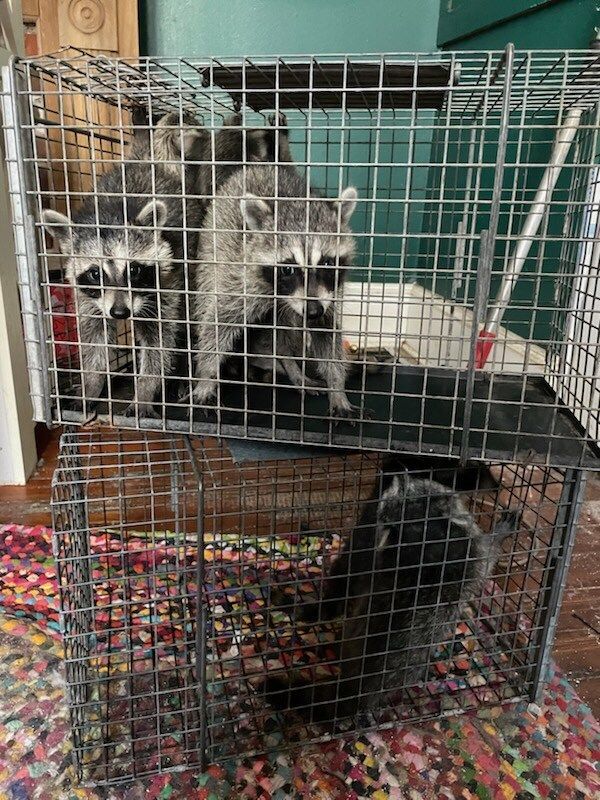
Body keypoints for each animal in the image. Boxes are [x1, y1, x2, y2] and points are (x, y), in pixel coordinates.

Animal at [42, 159, 203, 418]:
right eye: (96, 273)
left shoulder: (166, 284)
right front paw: (90, 385)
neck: (110, 213)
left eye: (134, 270)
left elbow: (158, 340)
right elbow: (94, 338)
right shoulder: (88, 297)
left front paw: (145, 390)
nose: (120, 313)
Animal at [191, 163, 358, 417]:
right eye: (288, 268)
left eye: (328, 263)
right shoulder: (243, 278)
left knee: (285, 335)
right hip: (211, 254)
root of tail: (257, 167)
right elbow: (219, 322)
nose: (312, 311)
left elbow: (327, 333)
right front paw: (207, 376)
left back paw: (292, 368)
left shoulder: (328, 295)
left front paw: (337, 387)